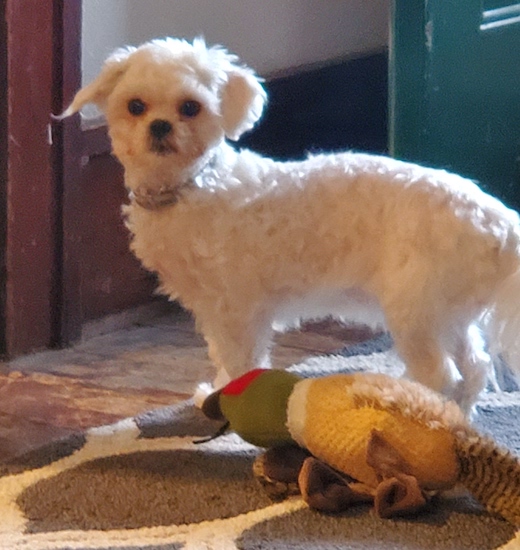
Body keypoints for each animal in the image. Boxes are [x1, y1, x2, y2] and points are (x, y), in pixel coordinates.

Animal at [63, 36, 520, 412]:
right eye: (135, 106)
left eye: (190, 107)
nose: (159, 126)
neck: (194, 185)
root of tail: (497, 220)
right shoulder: (216, 312)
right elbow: (223, 357)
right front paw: (216, 393)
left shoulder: (236, 308)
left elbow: (240, 358)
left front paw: (226, 406)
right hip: (450, 312)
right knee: (475, 368)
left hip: (415, 310)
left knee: (443, 375)